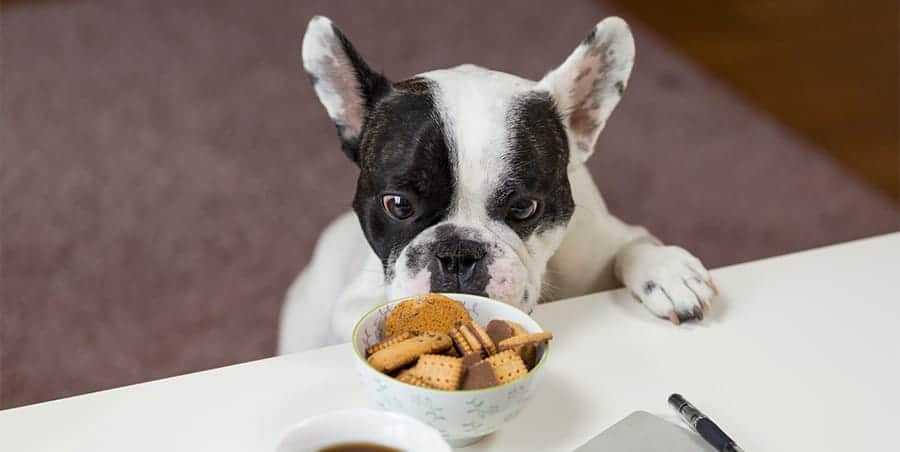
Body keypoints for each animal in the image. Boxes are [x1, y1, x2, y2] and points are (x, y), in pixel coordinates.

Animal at [278, 14, 712, 354]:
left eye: (524, 208)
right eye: (397, 205)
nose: (457, 253)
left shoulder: (601, 242)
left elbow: (633, 244)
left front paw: (668, 271)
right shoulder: (352, 303)